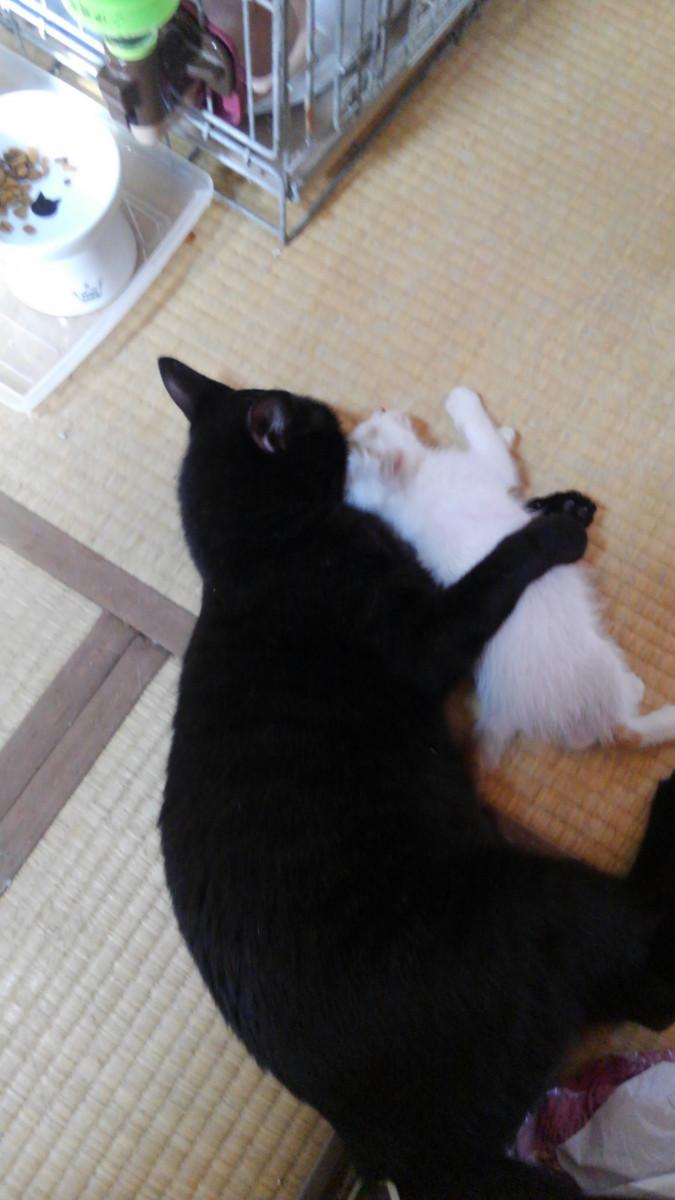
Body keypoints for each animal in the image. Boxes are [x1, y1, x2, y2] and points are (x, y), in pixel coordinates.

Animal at [347, 387, 675, 764]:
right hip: (600, 665)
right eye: (375, 423)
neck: (407, 492)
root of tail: (504, 714)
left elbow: (493, 442)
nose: (381, 407)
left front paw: (501, 431)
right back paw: (642, 697)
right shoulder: (486, 469)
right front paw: (465, 402)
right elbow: (487, 442)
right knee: (625, 731)